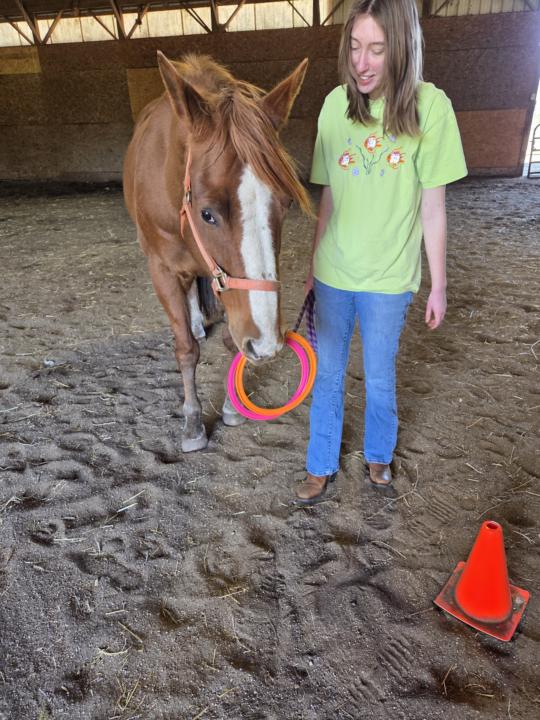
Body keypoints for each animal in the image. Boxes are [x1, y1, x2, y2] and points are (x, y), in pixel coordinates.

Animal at [123, 52, 310, 452]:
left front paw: (230, 407)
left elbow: (230, 343)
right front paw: (193, 423)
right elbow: (185, 349)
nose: (268, 344)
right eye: (207, 213)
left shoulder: (230, 287)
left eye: (286, 204)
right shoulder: (162, 271)